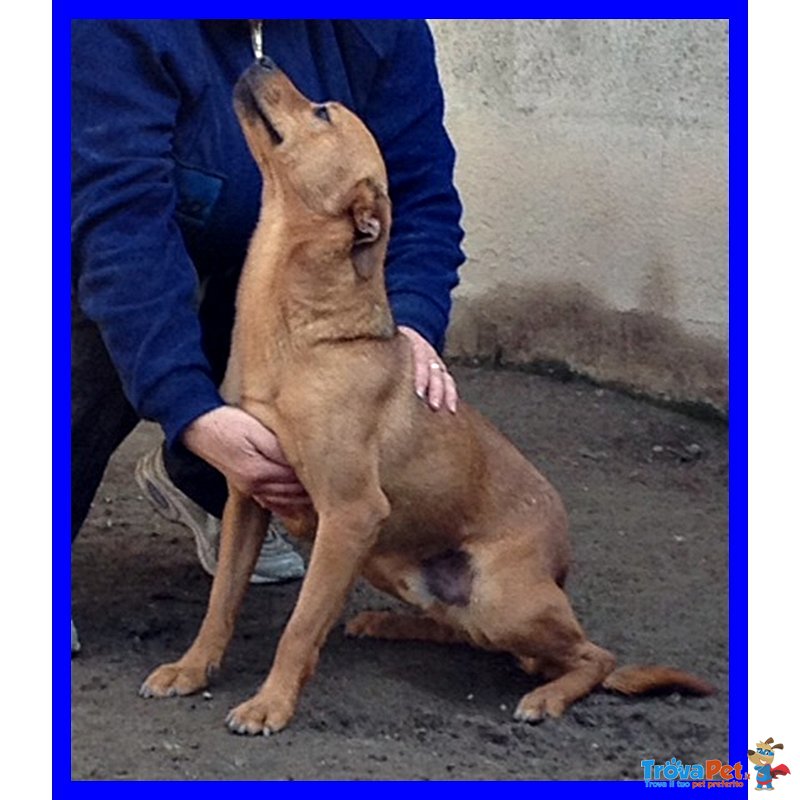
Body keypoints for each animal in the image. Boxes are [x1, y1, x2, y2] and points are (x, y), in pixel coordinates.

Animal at [139, 56, 712, 736]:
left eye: (323, 112)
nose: (260, 58)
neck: (303, 333)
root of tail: (559, 567)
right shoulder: (248, 493)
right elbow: (221, 599)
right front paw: (192, 668)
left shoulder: (351, 513)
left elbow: (300, 626)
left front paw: (270, 702)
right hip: (400, 569)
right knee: (465, 632)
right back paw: (387, 623)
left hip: (495, 594)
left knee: (592, 656)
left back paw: (547, 697)